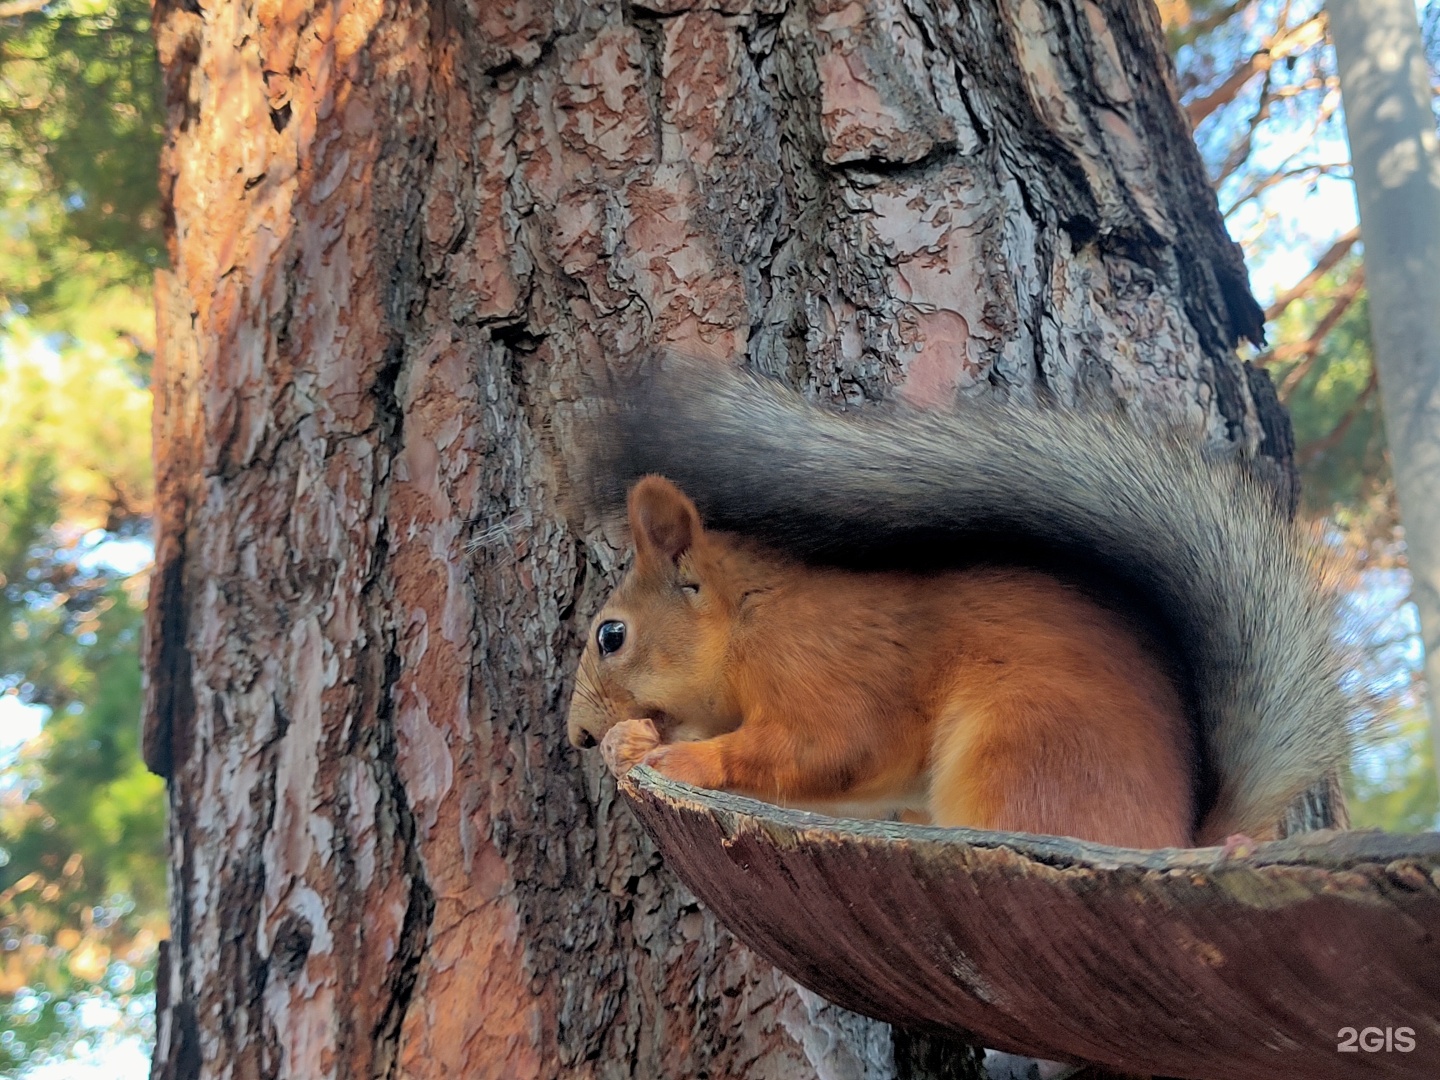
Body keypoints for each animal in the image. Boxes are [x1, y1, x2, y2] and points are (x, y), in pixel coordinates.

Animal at [564, 360, 1347, 852]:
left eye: (611, 635)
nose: (578, 736)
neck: (754, 621)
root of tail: (1180, 840)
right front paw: (628, 743)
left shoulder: (832, 666)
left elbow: (826, 746)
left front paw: (679, 756)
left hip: (1022, 750)